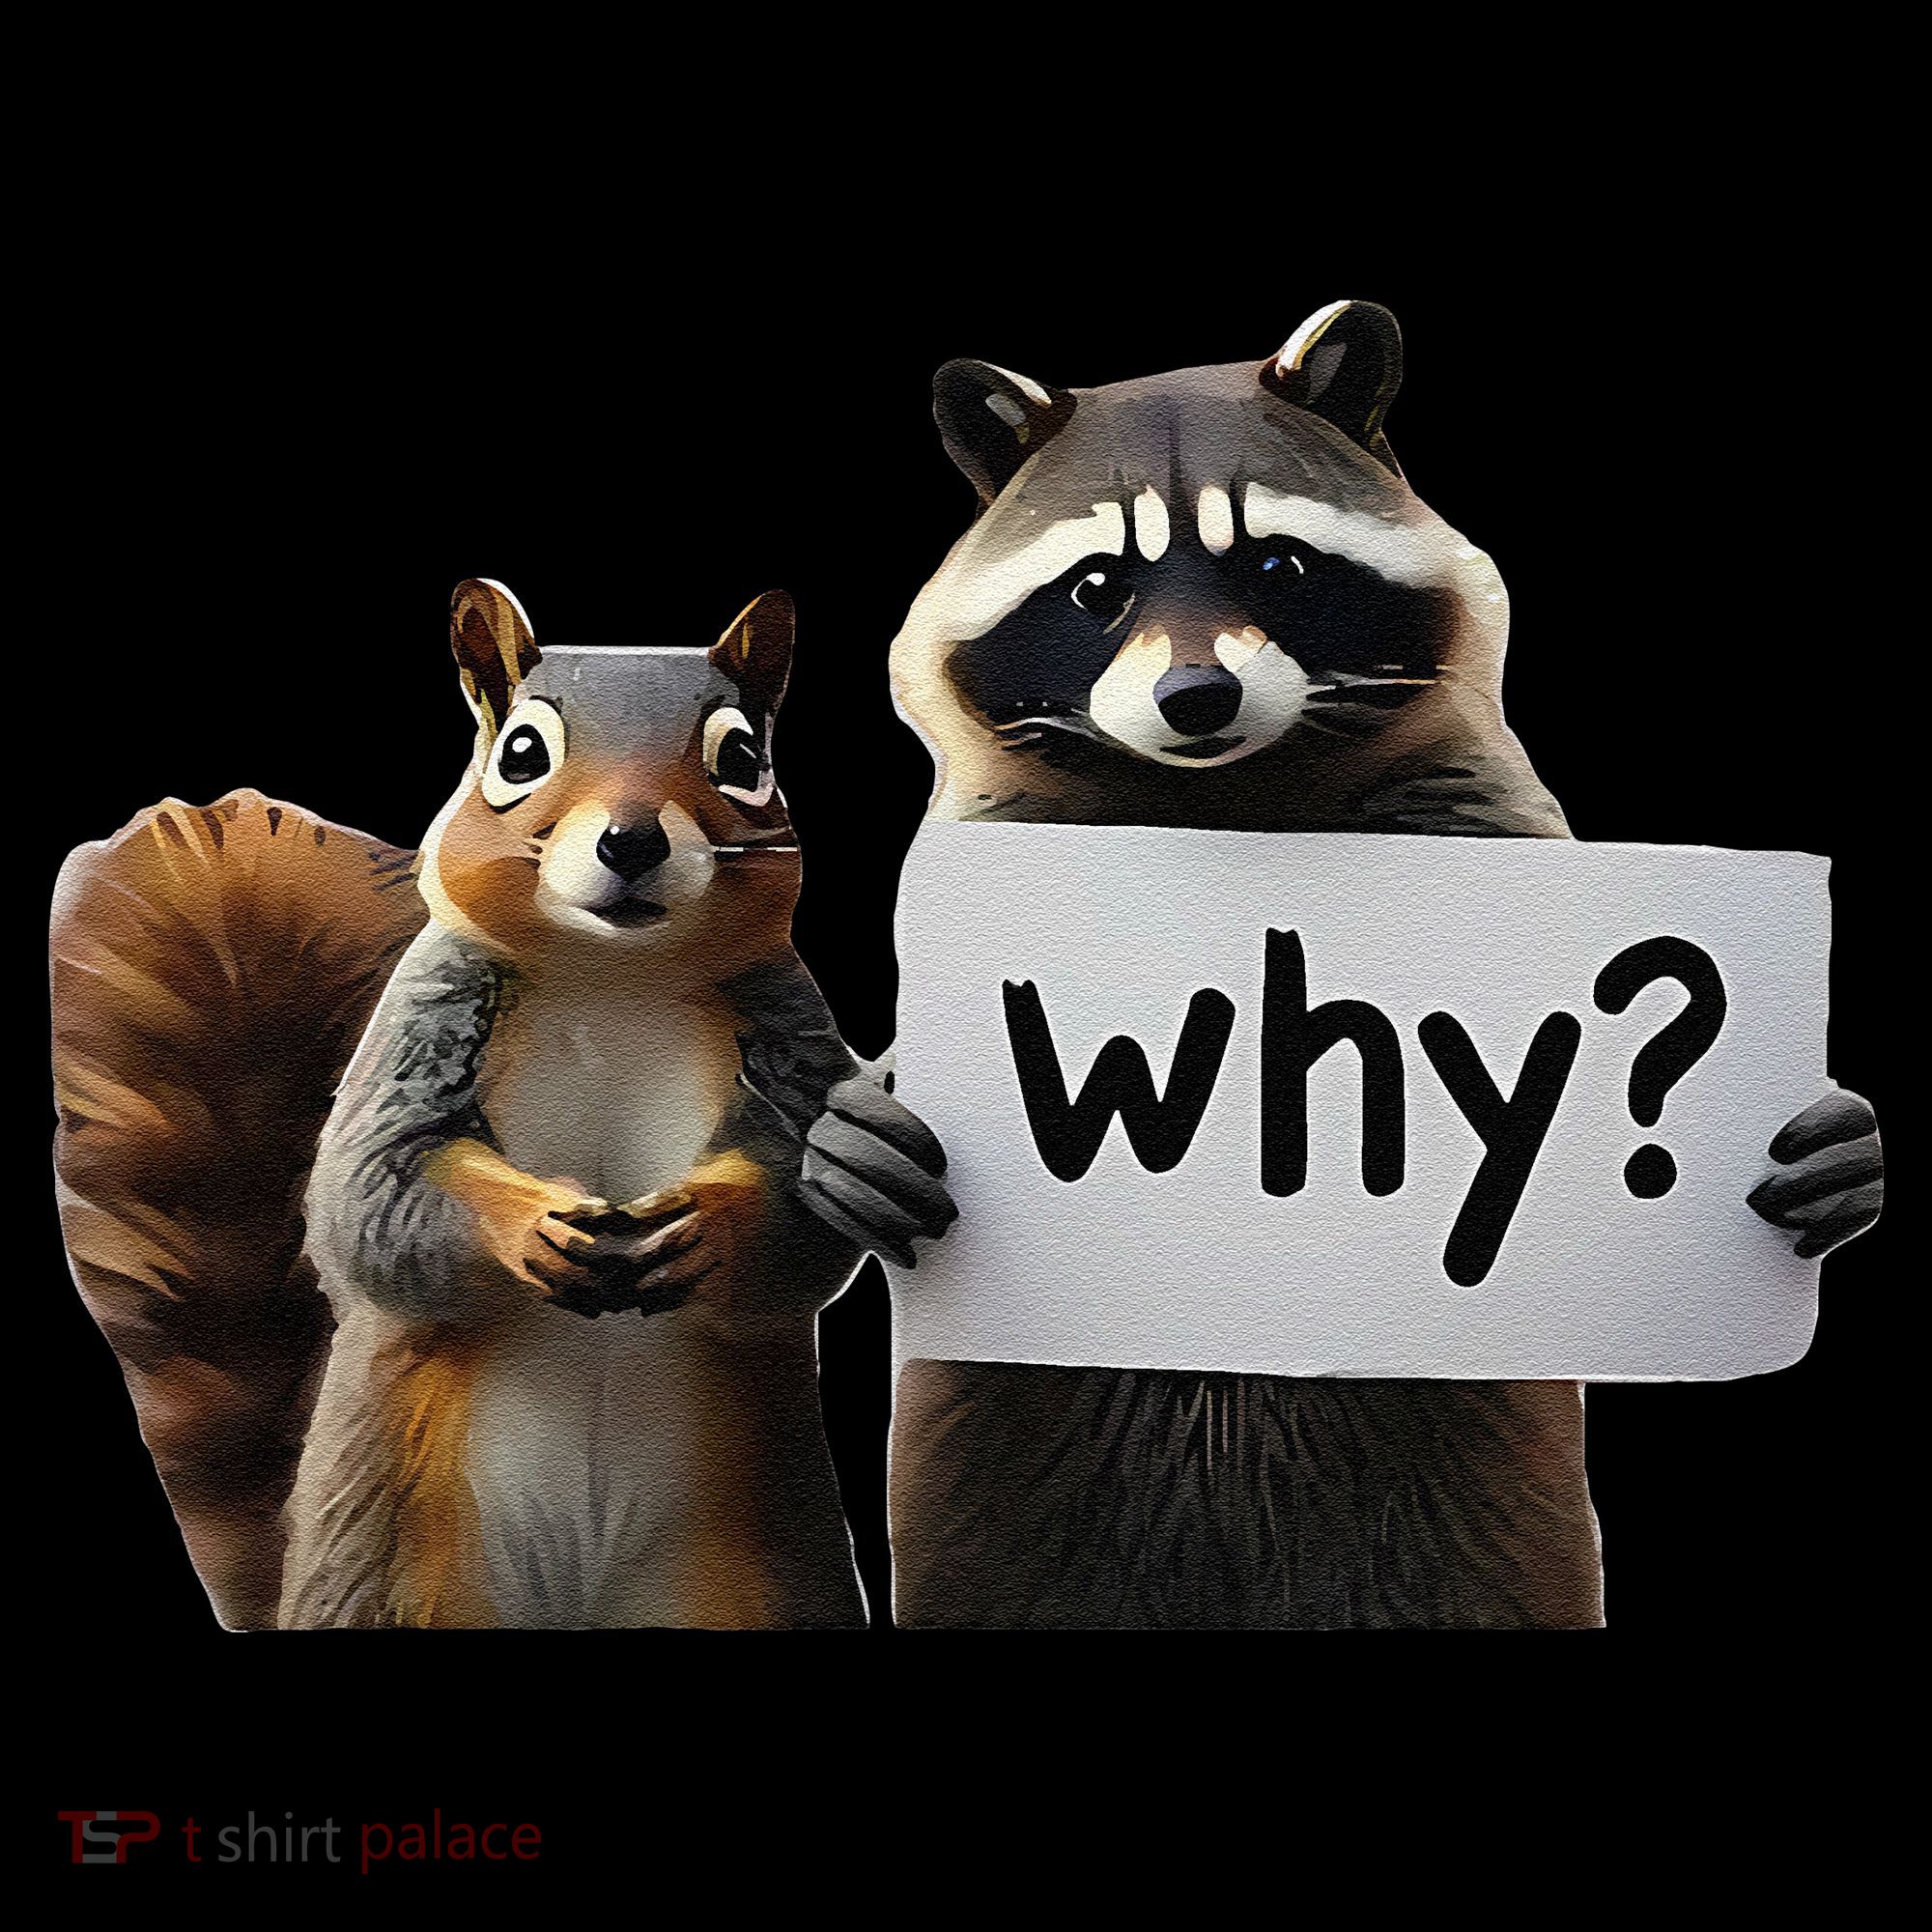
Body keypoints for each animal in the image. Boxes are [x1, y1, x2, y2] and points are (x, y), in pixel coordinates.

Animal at [52, 579, 954, 1630]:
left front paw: (713, 1223)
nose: (631, 839)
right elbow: (372, 1189)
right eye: (519, 753)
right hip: (392, 1581)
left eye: (743, 760)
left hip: (754, 1584)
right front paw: (527, 1223)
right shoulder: (419, 1024)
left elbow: (798, 1225)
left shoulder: (789, 1027)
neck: (611, 975)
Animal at [883, 299, 1885, 1628]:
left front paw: (1839, 1143)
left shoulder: (1481, 819)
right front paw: (859, 1116)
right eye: (1097, 587)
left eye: (1276, 568)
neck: (1223, 794)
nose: (1194, 695)